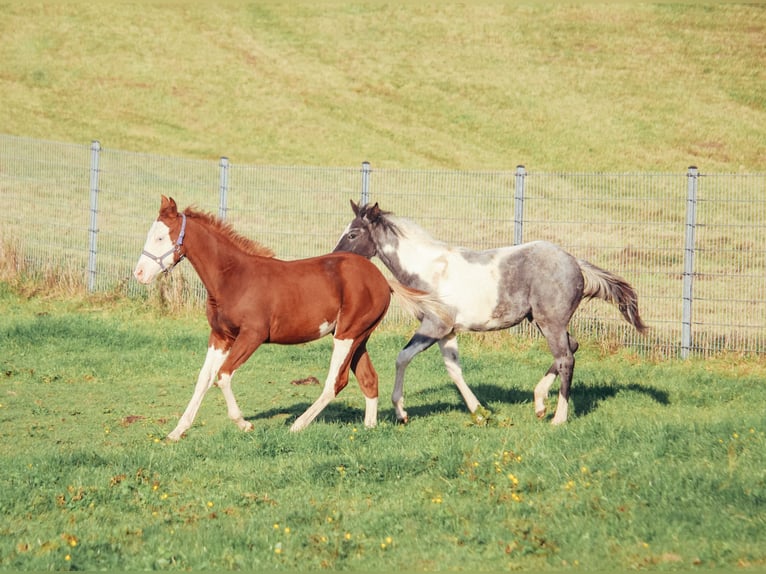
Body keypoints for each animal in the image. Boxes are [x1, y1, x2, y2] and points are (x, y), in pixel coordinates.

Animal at [133, 196, 447, 440]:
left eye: (161, 237)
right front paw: (176, 432)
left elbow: (222, 376)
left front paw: (244, 424)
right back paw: (368, 428)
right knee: (368, 379)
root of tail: (382, 280)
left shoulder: (252, 336)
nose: (139, 274)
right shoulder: (221, 336)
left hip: (347, 335)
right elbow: (204, 378)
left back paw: (298, 425)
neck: (233, 278)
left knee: (336, 381)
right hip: (359, 337)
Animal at [333, 201, 647, 425]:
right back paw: (539, 403)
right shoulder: (447, 332)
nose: (335, 259)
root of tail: (575, 262)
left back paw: (558, 417)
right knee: (572, 347)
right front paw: (480, 412)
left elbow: (402, 358)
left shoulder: (434, 326)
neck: (429, 269)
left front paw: (401, 412)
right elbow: (454, 369)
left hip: (551, 323)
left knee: (565, 358)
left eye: (353, 233)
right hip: (543, 321)